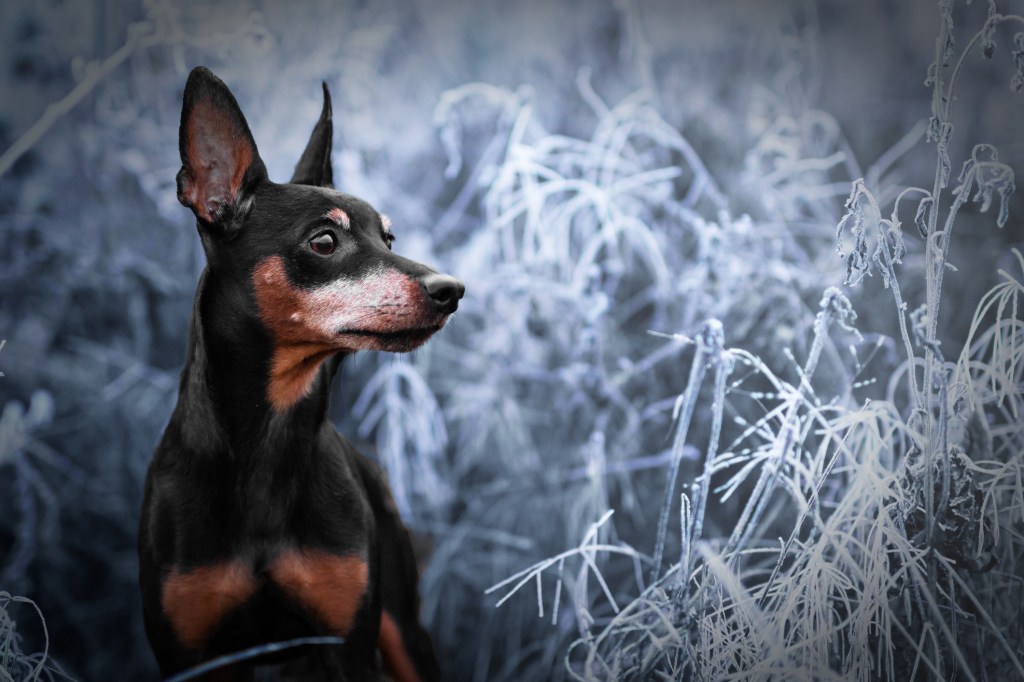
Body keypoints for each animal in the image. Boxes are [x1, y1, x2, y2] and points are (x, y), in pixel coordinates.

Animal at [137, 65, 460, 679]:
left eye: (389, 239)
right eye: (325, 241)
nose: (451, 290)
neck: (270, 445)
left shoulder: (349, 641)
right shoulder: (189, 652)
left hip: (404, 627)